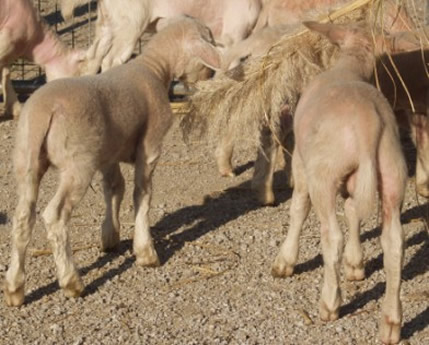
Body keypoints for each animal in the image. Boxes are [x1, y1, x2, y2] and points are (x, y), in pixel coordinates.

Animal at [4, 16, 221, 306]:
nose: (210, 75)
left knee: (22, 217)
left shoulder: (109, 153)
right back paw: (71, 282)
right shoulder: (150, 146)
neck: (154, 68)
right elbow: (142, 195)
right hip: (78, 164)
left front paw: (110, 236)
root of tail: (44, 111)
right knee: (55, 216)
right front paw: (145, 252)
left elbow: (115, 188)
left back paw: (14, 288)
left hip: (26, 159)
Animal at [270, 21, 408, 344]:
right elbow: (353, 213)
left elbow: (298, 209)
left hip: (324, 174)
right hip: (392, 172)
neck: (349, 66)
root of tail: (369, 124)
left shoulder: (301, 163)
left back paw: (329, 304)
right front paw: (355, 265)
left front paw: (285, 261)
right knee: (394, 243)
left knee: (332, 235)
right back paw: (391, 323)